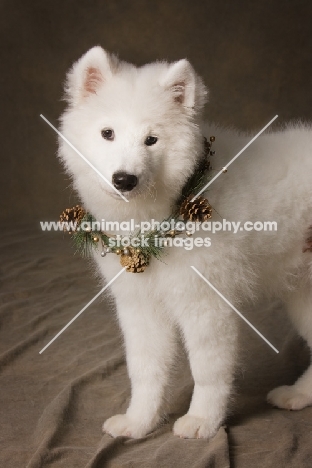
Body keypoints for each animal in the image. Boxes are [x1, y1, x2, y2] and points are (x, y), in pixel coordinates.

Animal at [58, 46, 312, 438]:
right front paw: (139, 421)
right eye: (107, 133)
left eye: (152, 140)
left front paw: (203, 421)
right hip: (303, 295)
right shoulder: (140, 306)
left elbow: (208, 371)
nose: (124, 179)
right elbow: (145, 369)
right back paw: (298, 394)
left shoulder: (205, 304)